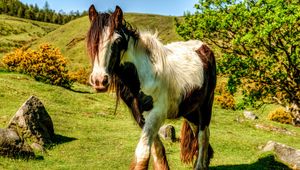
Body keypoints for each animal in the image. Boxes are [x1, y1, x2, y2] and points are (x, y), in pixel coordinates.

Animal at [86, 4, 216, 169]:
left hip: (205, 105)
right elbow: (157, 151)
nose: (99, 80)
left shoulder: (156, 114)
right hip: (191, 110)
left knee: (203, 136)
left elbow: (142, 154)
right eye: (91, 39)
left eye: (118, 40)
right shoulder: (140, 116)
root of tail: (204, 48)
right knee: (198, 133)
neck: (144, 74)